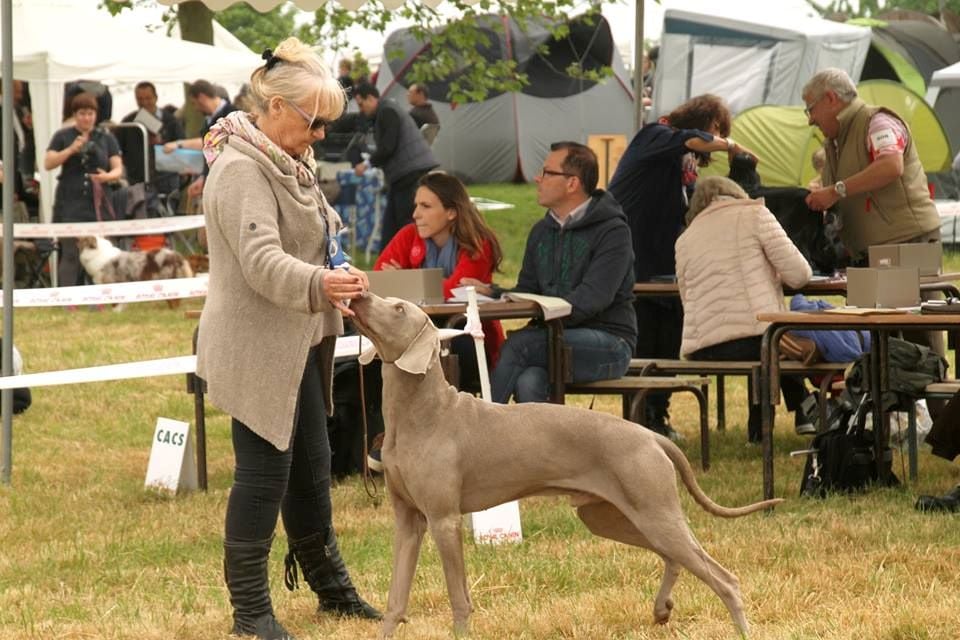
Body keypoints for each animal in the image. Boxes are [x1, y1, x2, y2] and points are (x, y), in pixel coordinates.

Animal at [352, 292, 780, 636]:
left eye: (398, 308)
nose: (357, 294)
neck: (423, 414)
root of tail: (649, 436)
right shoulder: (409, 521)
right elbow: (395, 598)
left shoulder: (444, 520)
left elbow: (459, 598)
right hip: (608, 516)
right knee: (673, 556)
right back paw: (661, 610)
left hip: (653, 511)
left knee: (723, 577)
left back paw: (741, 629)